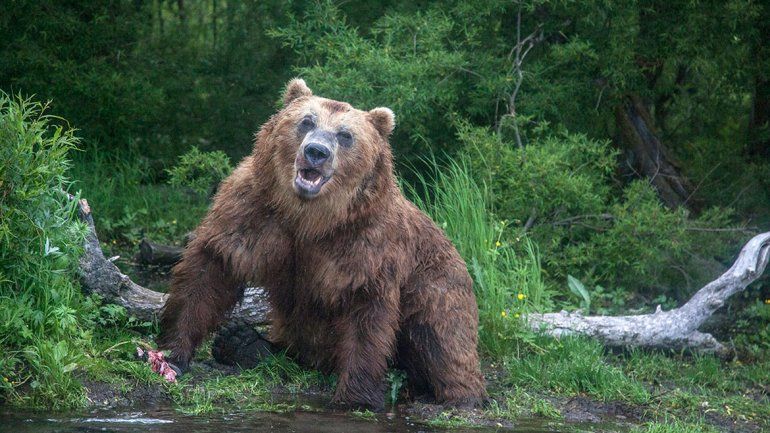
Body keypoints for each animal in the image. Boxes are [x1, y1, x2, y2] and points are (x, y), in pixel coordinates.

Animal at [156, 79, 487, 410]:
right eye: (306, 121)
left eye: (345, 135)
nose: (316, 151)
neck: (309, 218)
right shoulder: (253, 210)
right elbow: (211, 268)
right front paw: (174, 353)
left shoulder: (366, 242)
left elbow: (366, 311)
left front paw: (355, 397)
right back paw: (243, 342)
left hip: (437, 285)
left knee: (440, 337)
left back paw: (457, 395)